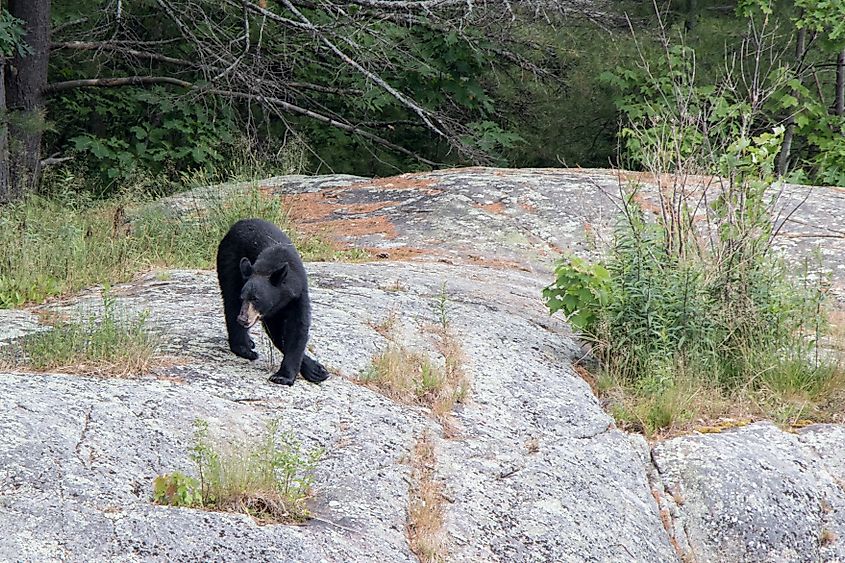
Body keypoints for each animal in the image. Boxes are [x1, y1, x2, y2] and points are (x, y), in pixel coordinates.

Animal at [216, 218, 329, 386]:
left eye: (256, 299)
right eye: (244, 298)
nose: (243, 318)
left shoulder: (299, 293)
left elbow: (297, 328)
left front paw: (306, 372)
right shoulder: (270, 309)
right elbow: (278, 331)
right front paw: (311, 370)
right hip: (230, 262)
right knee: (230, 299)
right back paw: (245, 348)